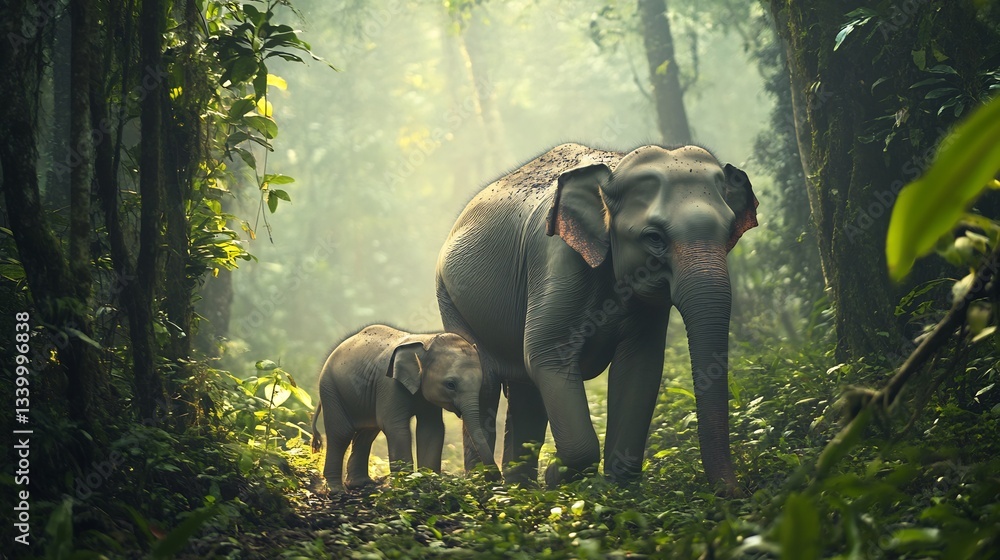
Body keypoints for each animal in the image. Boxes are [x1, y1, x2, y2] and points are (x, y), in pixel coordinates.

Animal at [310, 324, 497, 493]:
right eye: (450, 384)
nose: (496, 480)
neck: (426, 341)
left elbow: (432, 428)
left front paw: (428, 483)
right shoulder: (388, 384)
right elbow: (395, 427)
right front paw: (407, 487)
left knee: (366, 433)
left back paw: (360, 484)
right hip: (330, 388)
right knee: (341, 433)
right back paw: (336, 490)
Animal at [435, 143, 757, 489]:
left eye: (729, 231)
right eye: (654, 237)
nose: (736, 493)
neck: (613, 170)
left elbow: (640, 365)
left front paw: (617, 489)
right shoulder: (556, 262)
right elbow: (546, 355)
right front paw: (557, 475)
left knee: (525, 392)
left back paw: (520, 487)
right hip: (451, 300)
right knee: (487, 383)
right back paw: (488, 487)